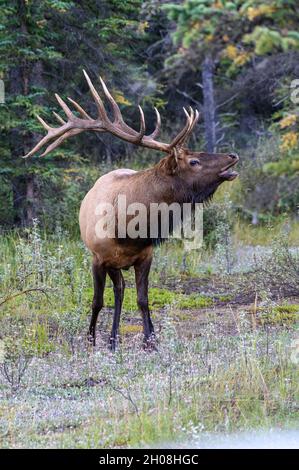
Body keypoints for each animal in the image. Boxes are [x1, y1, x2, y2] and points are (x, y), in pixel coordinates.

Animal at [23, 69, 240, 348]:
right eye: (194, 161)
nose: (232, 156)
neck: (128, 230)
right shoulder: (98, 258)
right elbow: (97, 301)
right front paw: (91, 340)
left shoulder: (145, 256)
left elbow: (143, 300)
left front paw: (150, 341)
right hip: (110, 263)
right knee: (117, 290)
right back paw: (111, 339)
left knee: (121, 290)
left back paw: (116, 339)